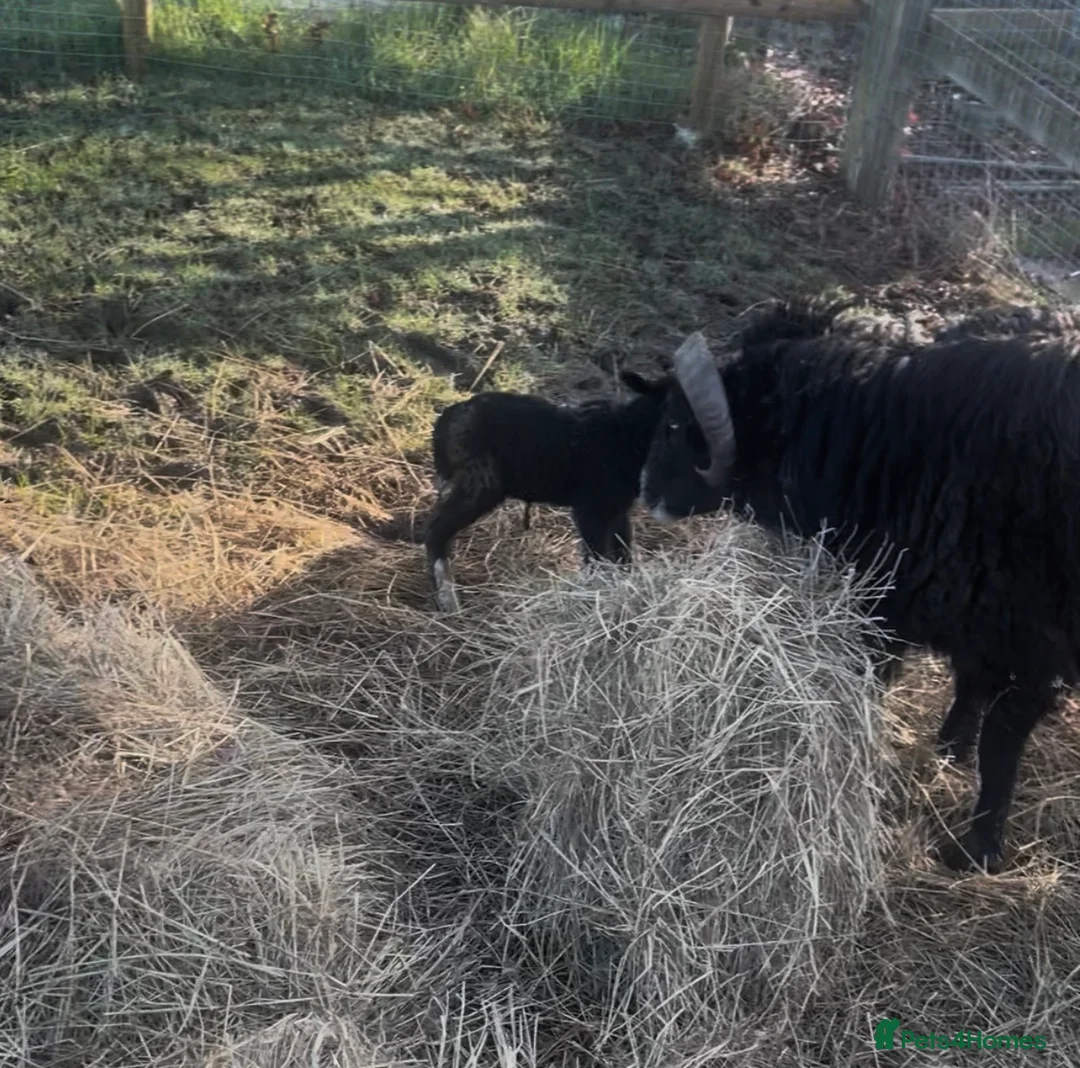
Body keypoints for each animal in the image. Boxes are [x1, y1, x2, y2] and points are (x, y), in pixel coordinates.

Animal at [425, 370, 670, 613]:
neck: (627, 433)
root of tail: (445, 420)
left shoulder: (617, 507)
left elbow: (622, 551)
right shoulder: (590, 507)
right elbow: (596, 555)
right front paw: (596, 594)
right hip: (478, 482)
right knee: (435, 531)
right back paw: (448, 602)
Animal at [637, 297, 1080, 874]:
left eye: (673, 425)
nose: (646, 492)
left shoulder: (1033, 640)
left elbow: (1001, 744)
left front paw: (976, 850)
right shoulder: (962, 605)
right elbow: (970, 686)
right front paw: (949, 749)